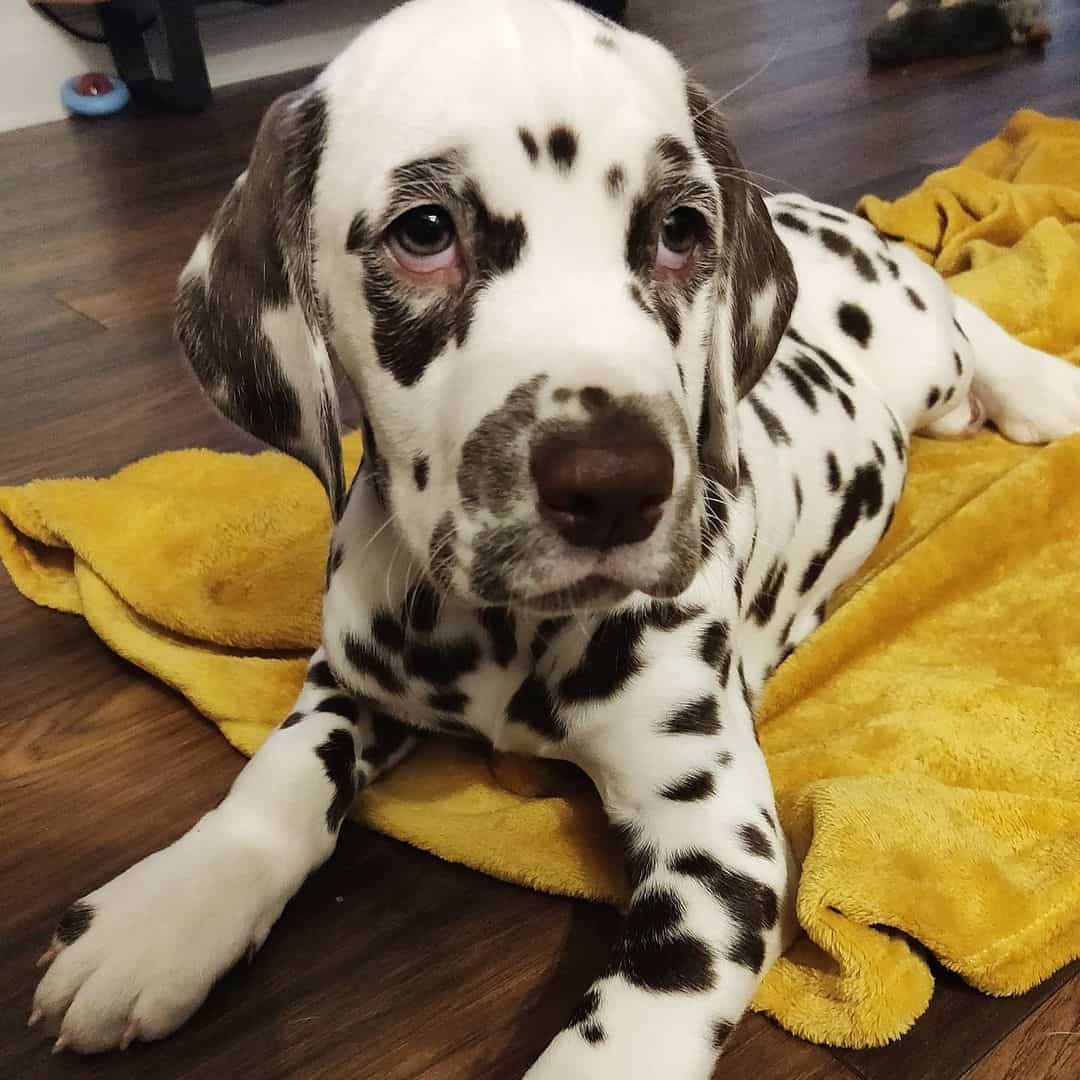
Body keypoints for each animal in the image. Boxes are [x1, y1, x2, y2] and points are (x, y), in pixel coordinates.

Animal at [29, 0, 1080, 1071]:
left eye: (679, 230)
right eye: (425, 231)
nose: (616, 486)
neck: (505, 633)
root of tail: (822, 215)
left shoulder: (722, 839)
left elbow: (632, 1025)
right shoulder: (353, 670)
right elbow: (281, 772)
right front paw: (169, 912)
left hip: (919, 342)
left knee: (964, 313)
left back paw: (1045, 391)